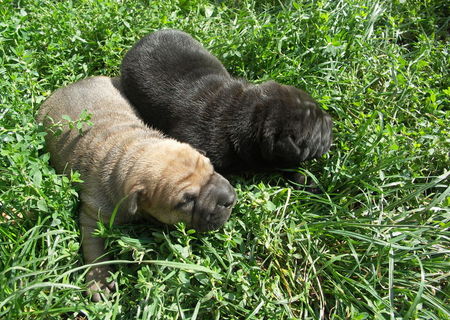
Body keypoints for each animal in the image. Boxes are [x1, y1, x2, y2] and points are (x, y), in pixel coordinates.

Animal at [37, 76, 237, 302]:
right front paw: (99, 282)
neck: (131, 151)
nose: (229, 198)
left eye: (211, 168)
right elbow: (94, 248)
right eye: (186, 201)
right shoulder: (93, 214)